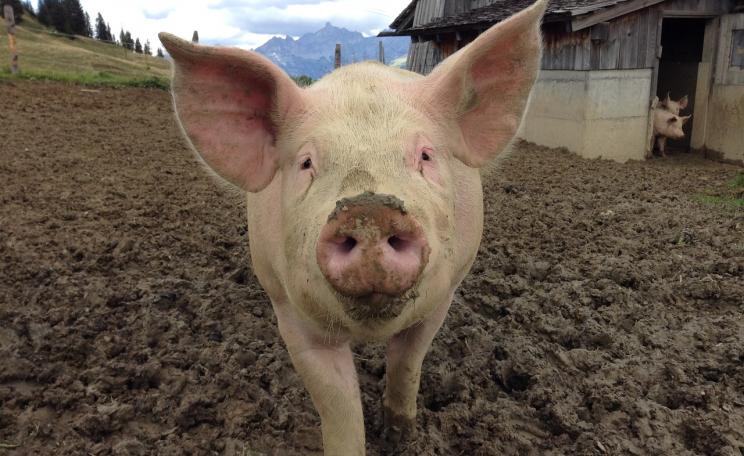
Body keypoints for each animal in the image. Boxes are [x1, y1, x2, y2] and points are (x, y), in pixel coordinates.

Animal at [158, 0, 546, 453]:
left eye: (425, 155)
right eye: (307, 162)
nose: (369, 210)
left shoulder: (442, 294)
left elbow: (407, 362)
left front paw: (399, 437)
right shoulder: (291, 314)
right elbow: (338, 406)